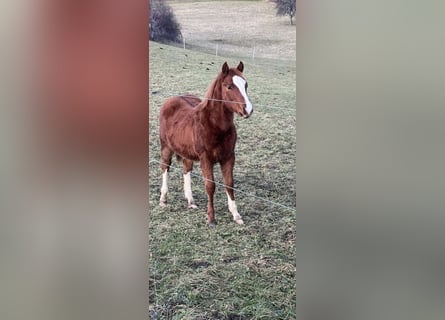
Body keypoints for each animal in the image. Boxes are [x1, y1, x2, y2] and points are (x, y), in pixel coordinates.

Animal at [159, 60, 253, 225]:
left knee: (186, 169)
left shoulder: (229, 157)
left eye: (245, 85)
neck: (214, 126)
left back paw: (190, 201)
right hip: (166, 146)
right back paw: (163, 199)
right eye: (229, 86)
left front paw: (236, 215)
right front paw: (211, 218)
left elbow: (229, 184)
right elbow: (210, 186)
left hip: (186, 151)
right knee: (165, 167)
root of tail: (171, 100)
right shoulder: (206, 159)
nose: (248, 110)